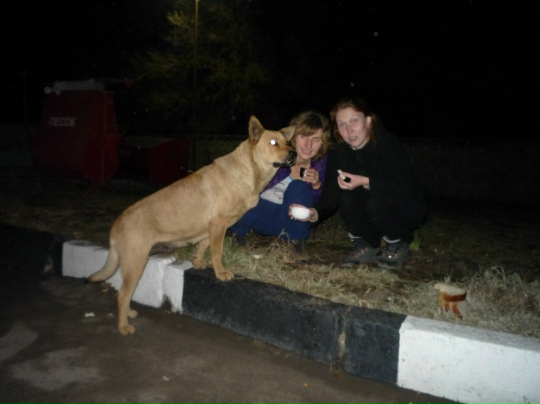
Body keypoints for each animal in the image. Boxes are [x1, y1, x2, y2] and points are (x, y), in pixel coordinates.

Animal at [86, 116, 296, 335]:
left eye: (287, 141)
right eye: (273, 142)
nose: (294, 153)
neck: (249, 168)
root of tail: (118, 222)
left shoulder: (210, 227)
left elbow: (203, 245)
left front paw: (197, 261)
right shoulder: (218, 224)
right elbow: (217, 252)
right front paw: (220, 272)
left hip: (135, 264)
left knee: (122, 292)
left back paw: (129, 314)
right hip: (135, 263)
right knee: (122, 295)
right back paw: (123, 326)